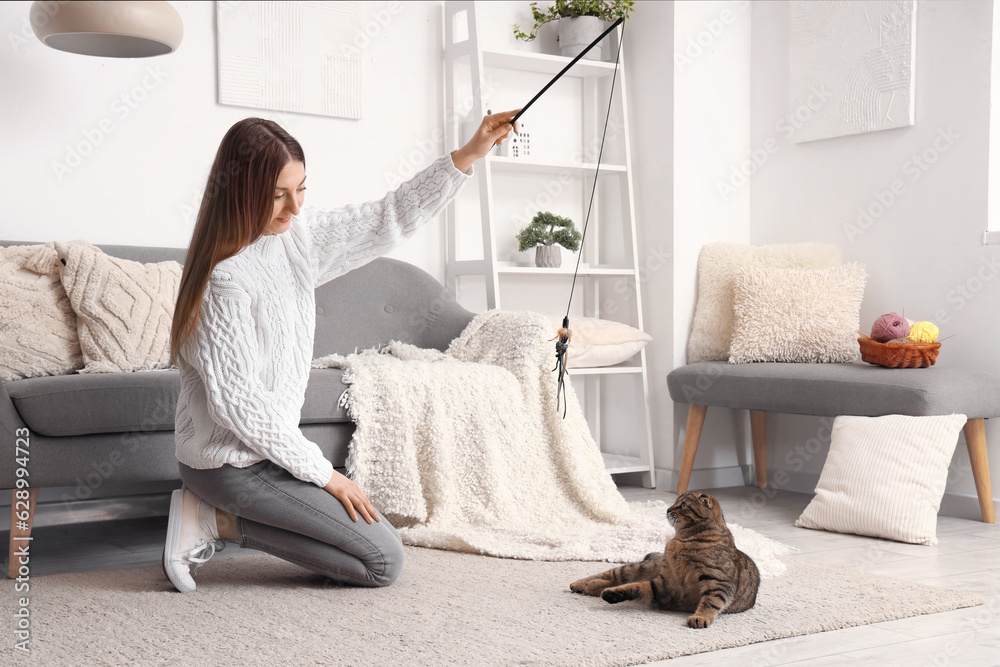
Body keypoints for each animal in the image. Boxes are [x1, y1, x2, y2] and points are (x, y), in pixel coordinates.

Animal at [572, 490, 756, 628]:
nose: (667, 509)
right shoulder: (665, 584)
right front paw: (610, 593)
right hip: (642, 567)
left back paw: (590, 587)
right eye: (676, 502)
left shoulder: (717, 582)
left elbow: (710, 602)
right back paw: (579, 584)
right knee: (613, 574)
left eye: (683, 505)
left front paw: (700, 618)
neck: (683, 539)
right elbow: (633, 586)